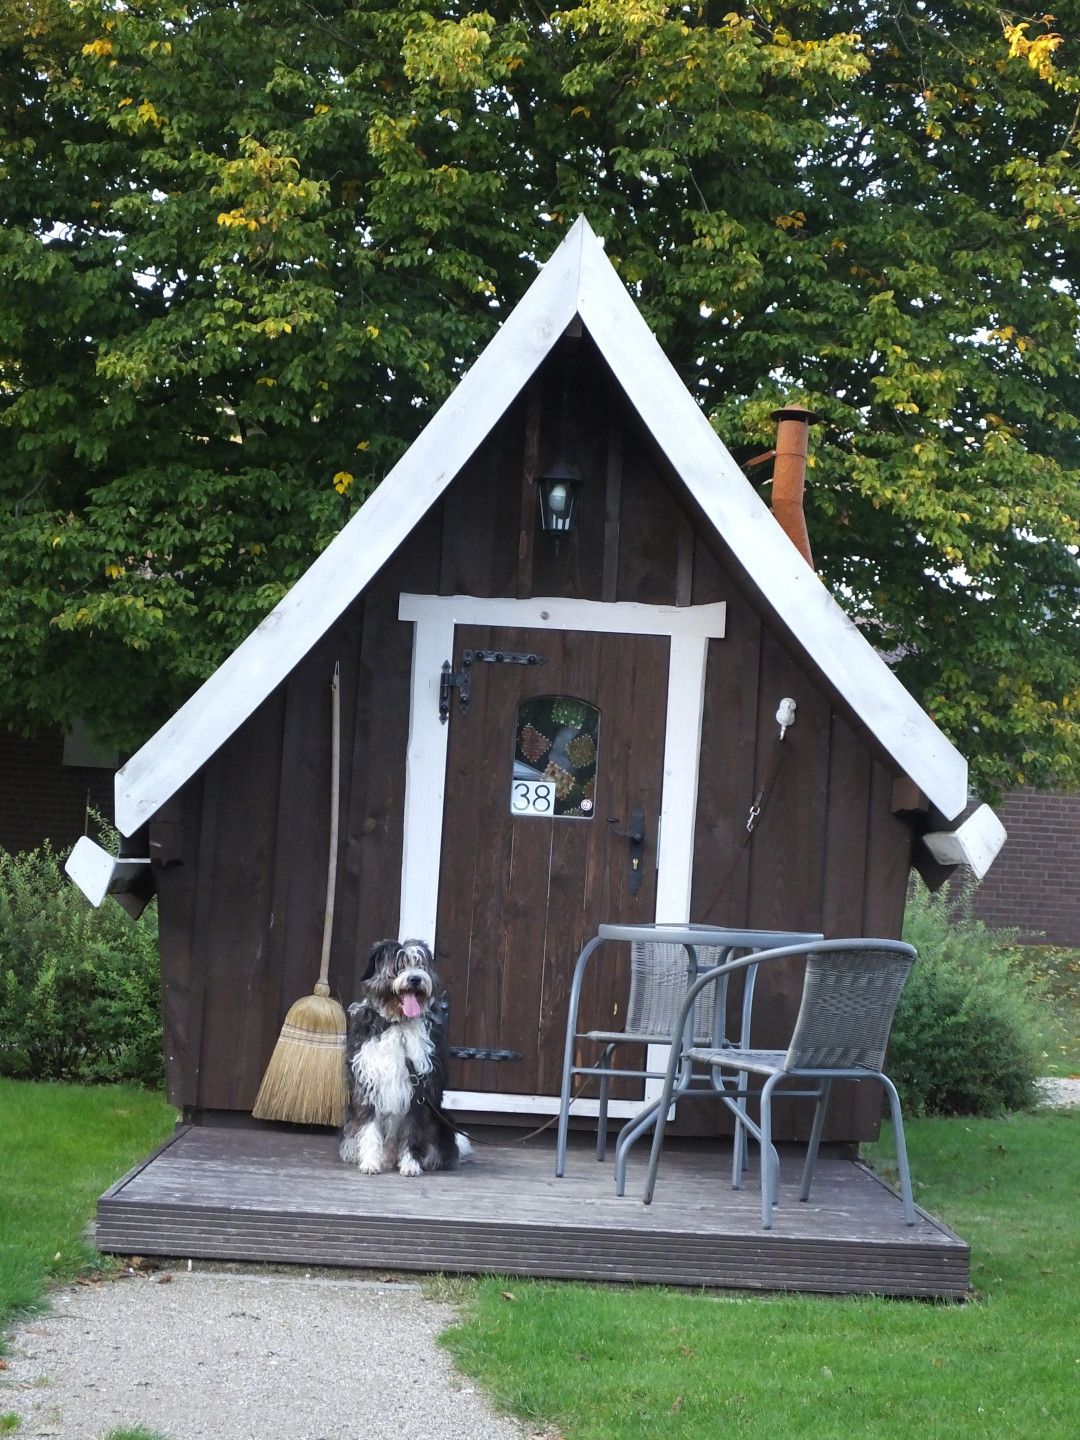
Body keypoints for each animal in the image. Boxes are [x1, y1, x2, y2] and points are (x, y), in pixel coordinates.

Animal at [339, 938, 472, 1175]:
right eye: (398, 966)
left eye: (419, 964)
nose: (415, 979)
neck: (397, 1023)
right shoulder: (368, 1083)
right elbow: (369, 1127)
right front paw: (370, 1162)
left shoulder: (419, 1091)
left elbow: (412, 1129)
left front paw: (411, 1164)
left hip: (441, 1120)